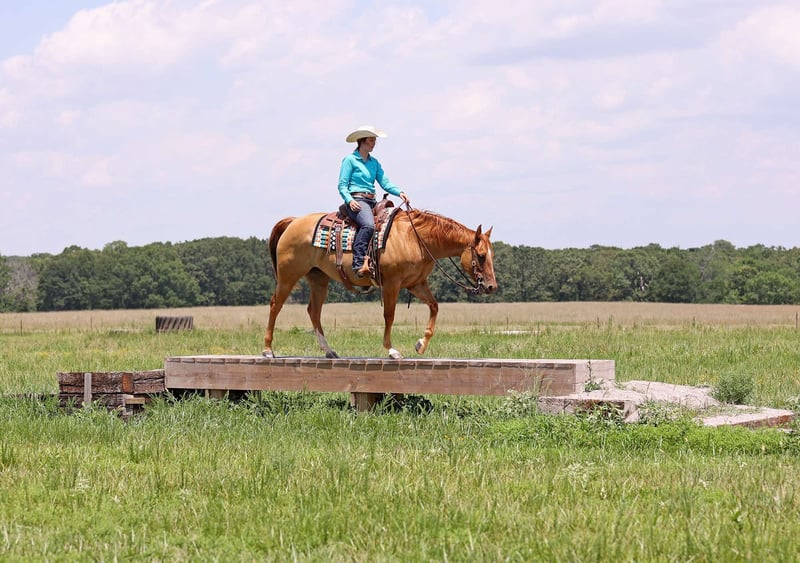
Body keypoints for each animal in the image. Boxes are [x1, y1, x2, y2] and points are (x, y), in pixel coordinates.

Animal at [262, 206, 497, 359]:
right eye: (481, 256)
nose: (491, 287)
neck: (415, 238)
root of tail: (293, 222)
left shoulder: (416, 283)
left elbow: (434, 306)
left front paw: (421, 345)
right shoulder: (392, 283)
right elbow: (389, 315)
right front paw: (392, 350)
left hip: (318, 279)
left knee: (314, 311)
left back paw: (329, 351)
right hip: (288, 276)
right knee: (275, 305)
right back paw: (267, 350)